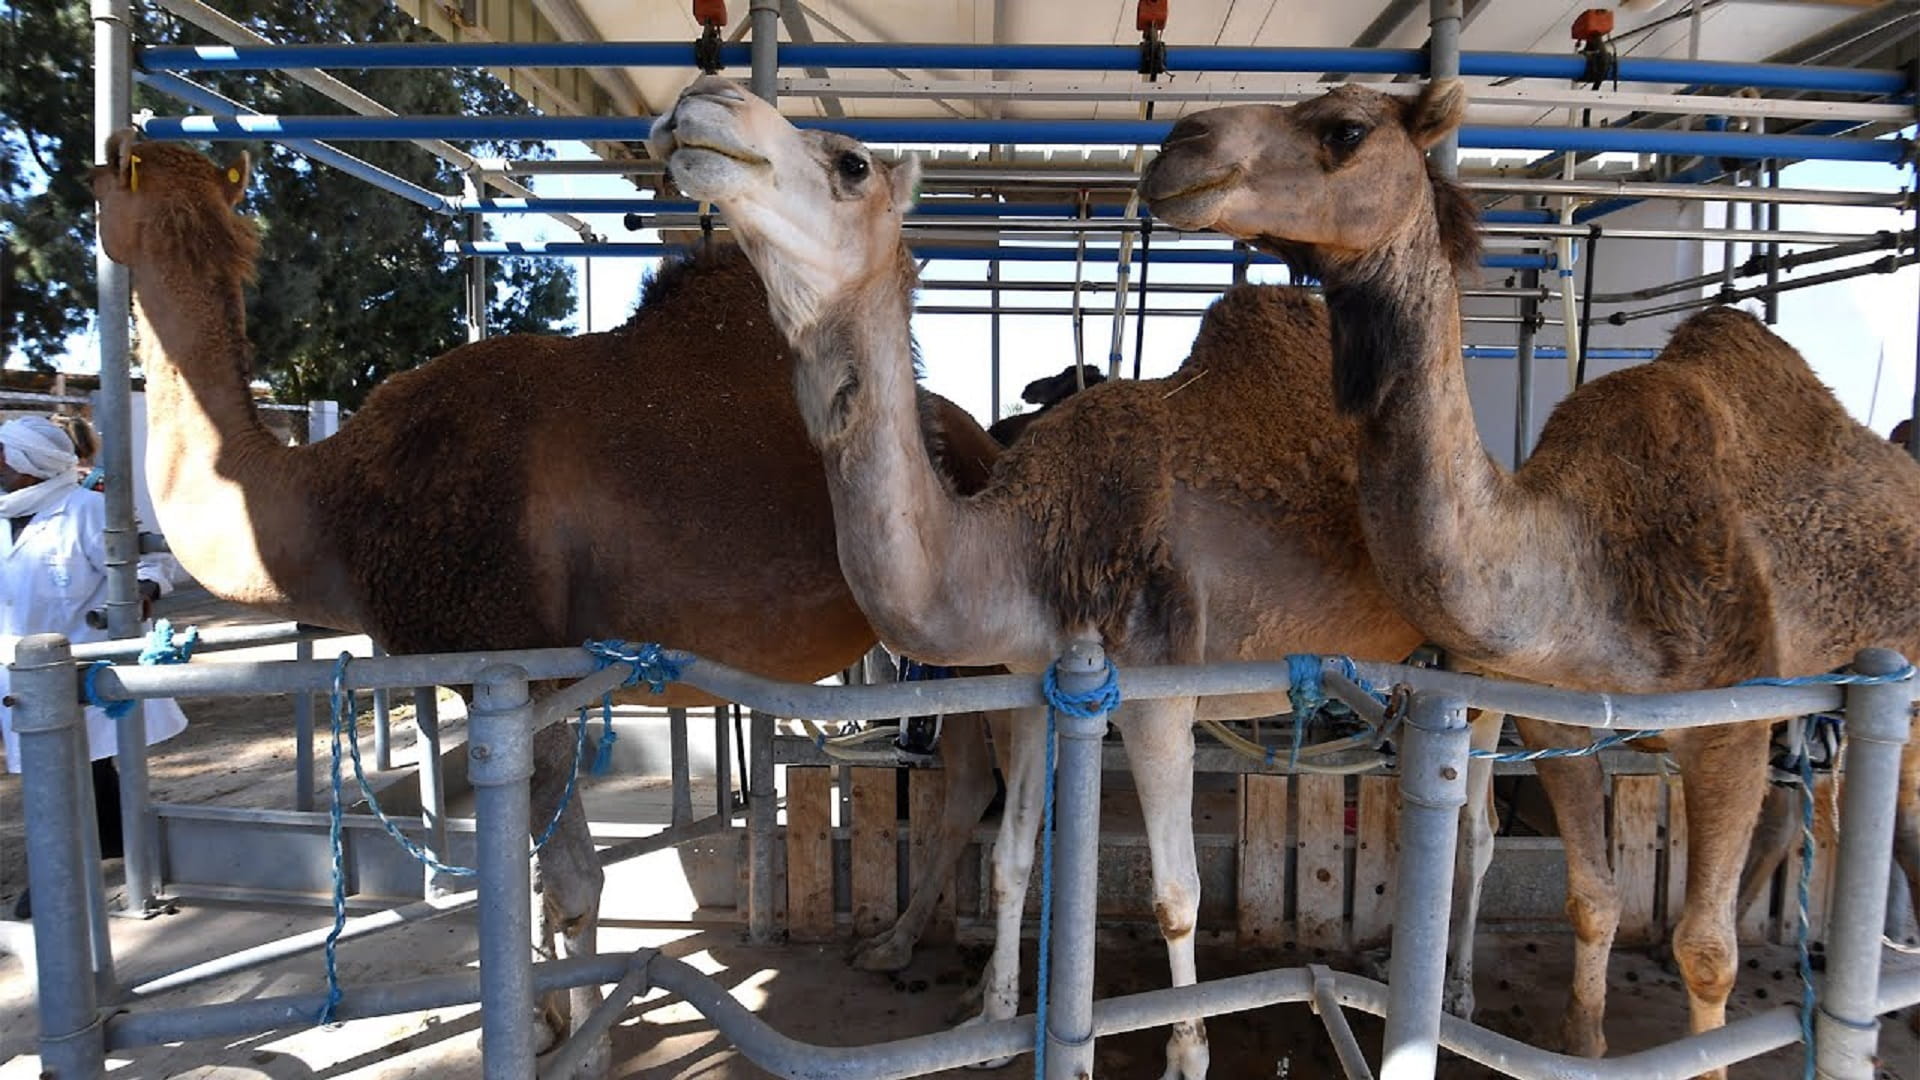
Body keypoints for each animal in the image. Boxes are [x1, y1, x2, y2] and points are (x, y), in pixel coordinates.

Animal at [86, 132, 1007, 1072]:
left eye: (103, 184)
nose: (86, 172)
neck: (332, 503)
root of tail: (980, 440)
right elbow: (537, 866)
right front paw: (549, 1019)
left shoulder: (521, 667)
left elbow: (569, 878)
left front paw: (580, 1040)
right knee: (969, 782)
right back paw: (896, 945)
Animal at [648, 75, 1425, 1079]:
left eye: (853, 163)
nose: (705, 100)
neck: (1024, 543)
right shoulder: (1025, 683)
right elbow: (1013, 853)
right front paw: (989, 1018)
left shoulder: (1157, 691)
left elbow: (1175, 888)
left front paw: (1183, 1056)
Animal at [1141, 80, 1920, 1071]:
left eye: (1345, 129)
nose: (1179, 145)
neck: (1584, 568)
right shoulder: (1556, 718)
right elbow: (1593, 900)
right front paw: (1580, 1043)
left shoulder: (1730, 729)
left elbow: (1706, 952)